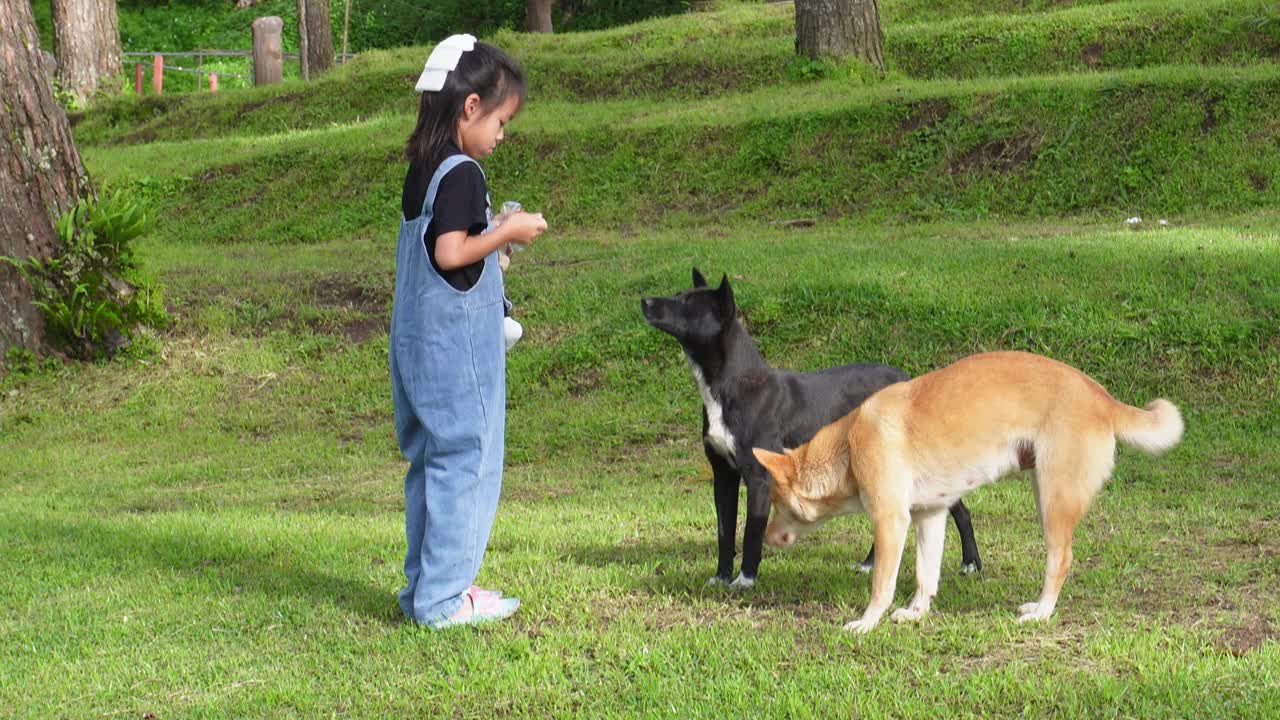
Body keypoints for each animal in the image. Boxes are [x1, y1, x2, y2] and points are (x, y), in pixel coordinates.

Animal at [640, 271, 977, 586]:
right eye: (678, 294)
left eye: (687, 303)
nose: (645, 301)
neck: (733, 385)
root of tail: (909, 381)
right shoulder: (722, 475)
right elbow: (725, 531)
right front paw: (721, 577)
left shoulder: (759, 476)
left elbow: (751, 531)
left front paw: (745, 579)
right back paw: (871, 563)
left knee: (959, 510)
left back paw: (971, 564)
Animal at [752, 351, 1182, 630]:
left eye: (776, 503)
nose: (766, 537)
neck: (848, 446)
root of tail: (1103, 398)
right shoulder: (929, 517)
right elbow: (925, 575)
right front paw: (916, 613)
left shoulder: (891, 522)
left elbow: (882, 586)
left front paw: (867, 622)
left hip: (1052, 500)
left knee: (1060, 561)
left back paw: (1042, 611)